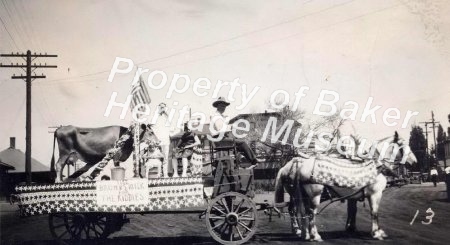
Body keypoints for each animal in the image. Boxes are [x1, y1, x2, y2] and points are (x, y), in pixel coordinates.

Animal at [274, 132, 418, 241]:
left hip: (301, 194)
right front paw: (377, 233)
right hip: (314, 194)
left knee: (300, 211)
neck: (376, 165)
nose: (414, 161)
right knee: (309, 212)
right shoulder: (375, 194)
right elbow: (374, 212)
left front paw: (354, 228)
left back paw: (305, 233)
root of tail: (295, 165)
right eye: (403, 145)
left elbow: (354, 211)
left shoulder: (355, 196)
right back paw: (314, 235)